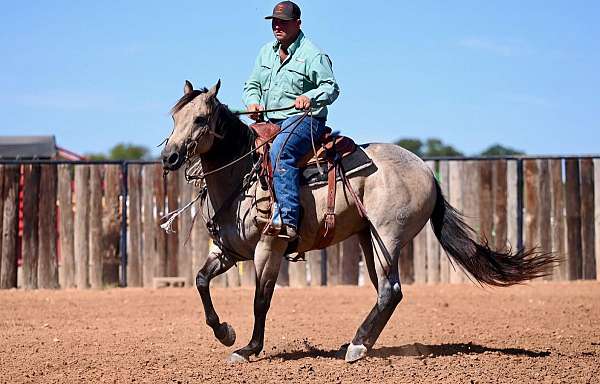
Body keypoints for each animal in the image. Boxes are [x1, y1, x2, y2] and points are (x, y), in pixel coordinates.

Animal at [161, 80, 556, 364]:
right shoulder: (227, 251)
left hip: (388, 237)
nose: (169, 157)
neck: (243, 174)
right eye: (174, 117)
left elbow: (261, 299)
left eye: (200, 119)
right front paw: (224, 332)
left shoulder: (268, 247)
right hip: (368, 238)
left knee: (390, 290)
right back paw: (360, 343)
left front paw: (248, 349)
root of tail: (426, 169)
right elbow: (200, 281)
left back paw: (356, 346)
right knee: (386, 293)